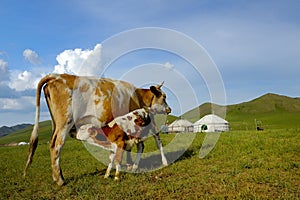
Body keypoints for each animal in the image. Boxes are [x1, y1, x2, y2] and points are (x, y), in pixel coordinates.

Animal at [23, 73, 171, 186]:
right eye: (164, 97)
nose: (169, 109)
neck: (137, 96)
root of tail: (56, 76)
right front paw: (129, 165)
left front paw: (128, 165)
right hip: (65, 122)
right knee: (56, 145)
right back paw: (60, 180)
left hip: (56, 123)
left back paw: (58, 176)